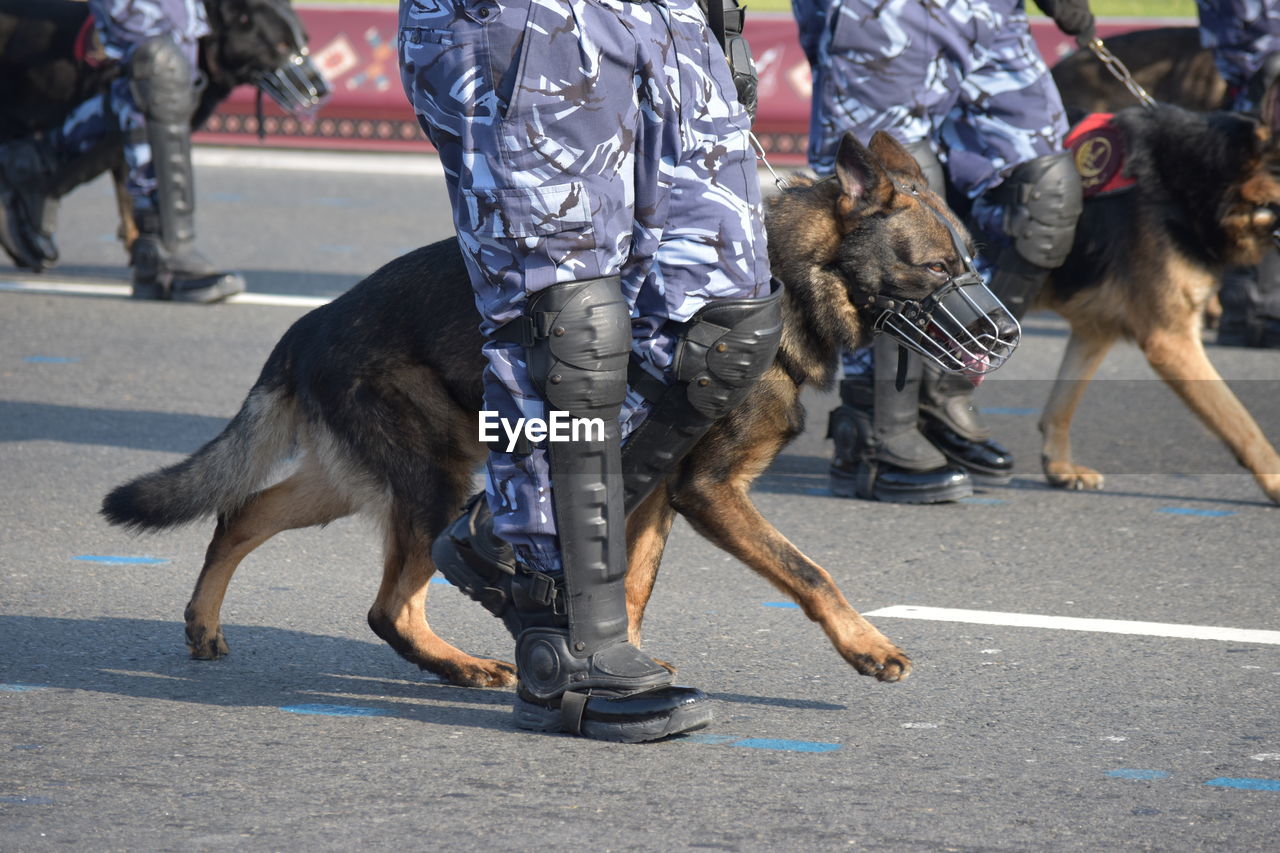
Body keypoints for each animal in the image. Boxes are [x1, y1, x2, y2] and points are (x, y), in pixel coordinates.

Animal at [99, 134, 1013, 691]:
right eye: (938, 268)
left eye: (973, 260)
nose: (1003, 336)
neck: (788, 278)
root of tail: (307, 322)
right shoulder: (712, 492)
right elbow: (809, 570)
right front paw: (867, 646)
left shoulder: (659, 494)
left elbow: (631, 584)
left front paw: (613, 662)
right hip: (437, 474)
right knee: (388, 604)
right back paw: (462, 665)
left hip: (361, 477)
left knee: (241, 515)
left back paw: (203, 622)